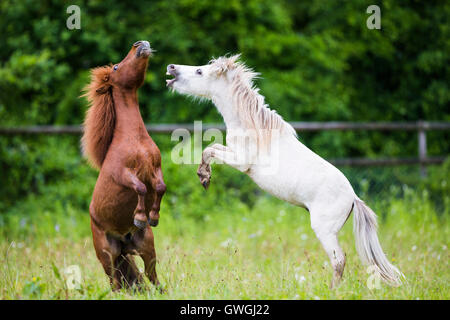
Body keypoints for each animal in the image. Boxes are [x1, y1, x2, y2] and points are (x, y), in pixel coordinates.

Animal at [81, 40, 165, 290]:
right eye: (117, 67)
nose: (140, 44)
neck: (134, 138)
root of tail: (122, 240)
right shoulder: (123, 174)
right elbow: (141, 188)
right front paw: (140, 217)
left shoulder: (155, 169)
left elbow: (159, 188)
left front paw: (153, 217)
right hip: (107, 256)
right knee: (116, 284)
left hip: (146, 248)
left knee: (153, 278)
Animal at [166, 54, 404, 288]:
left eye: (200, 71)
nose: (171, 67)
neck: (254, 128)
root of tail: (354, 198)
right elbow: (211, 148)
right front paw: (204, 176)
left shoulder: (241, 162)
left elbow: (209, 150)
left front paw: (204, 177)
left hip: (324, 231)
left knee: (339, 260)